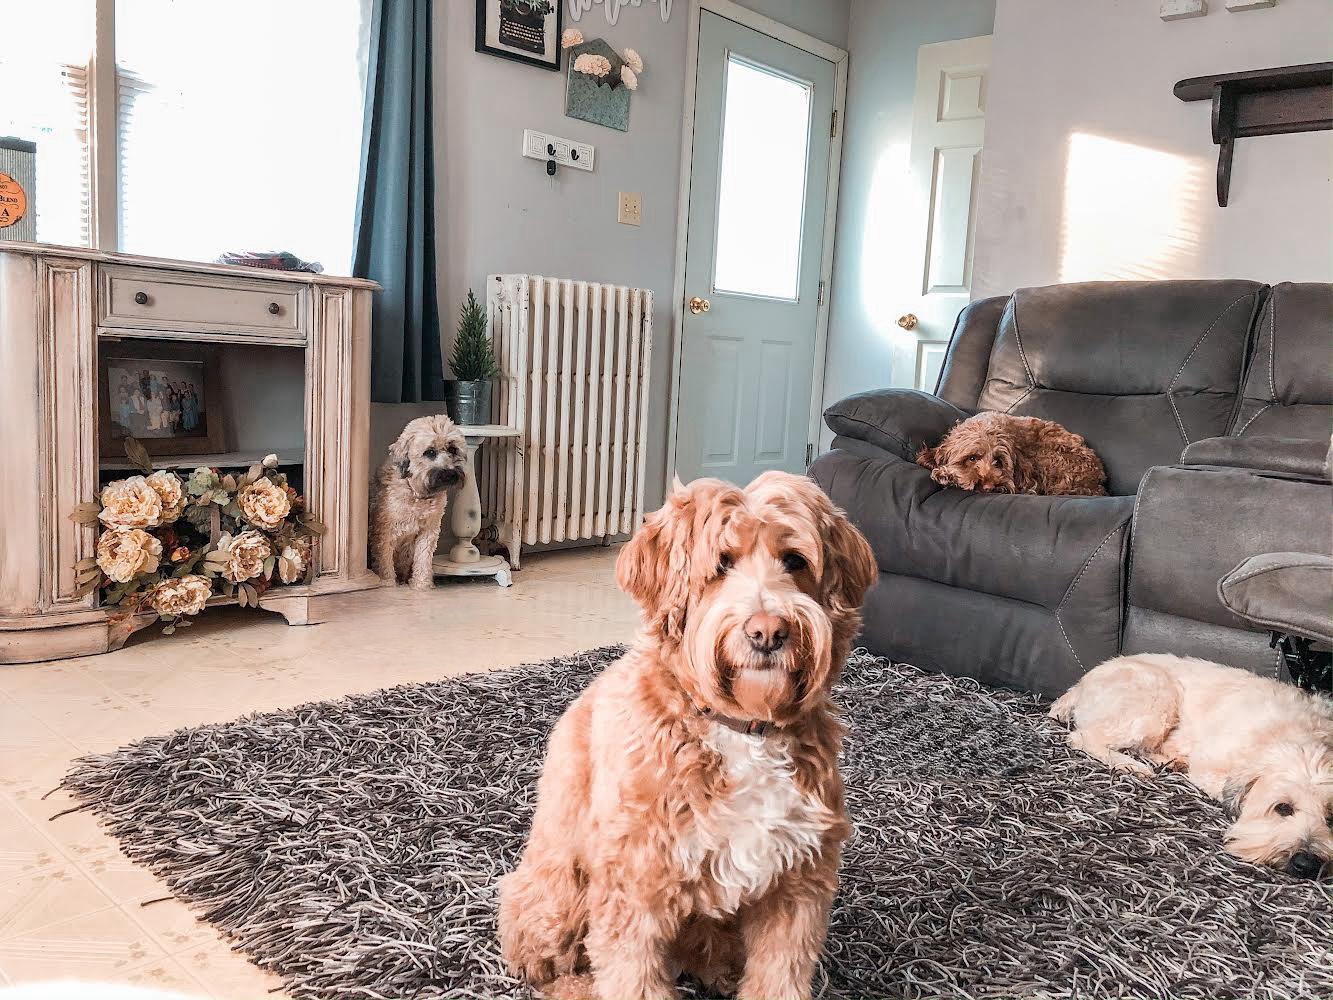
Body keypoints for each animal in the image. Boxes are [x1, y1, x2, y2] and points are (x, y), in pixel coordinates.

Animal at [370, 413, 469, 592]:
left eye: (452, 449)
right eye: (430, 452)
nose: (450, 474)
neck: (416, 491)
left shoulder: (428, 531)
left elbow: (423, 558)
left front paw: (422, 584)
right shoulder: (385, 531)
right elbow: (385, 560)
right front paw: (387, 582)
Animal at [1055, 658, 1327, 874]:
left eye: (1331, 816)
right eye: (1283, 808)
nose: (1307, 864)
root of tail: (1082, 683)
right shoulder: (1210, 766)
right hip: (1157, 697)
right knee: (1085, 738)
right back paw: (1132, 766)